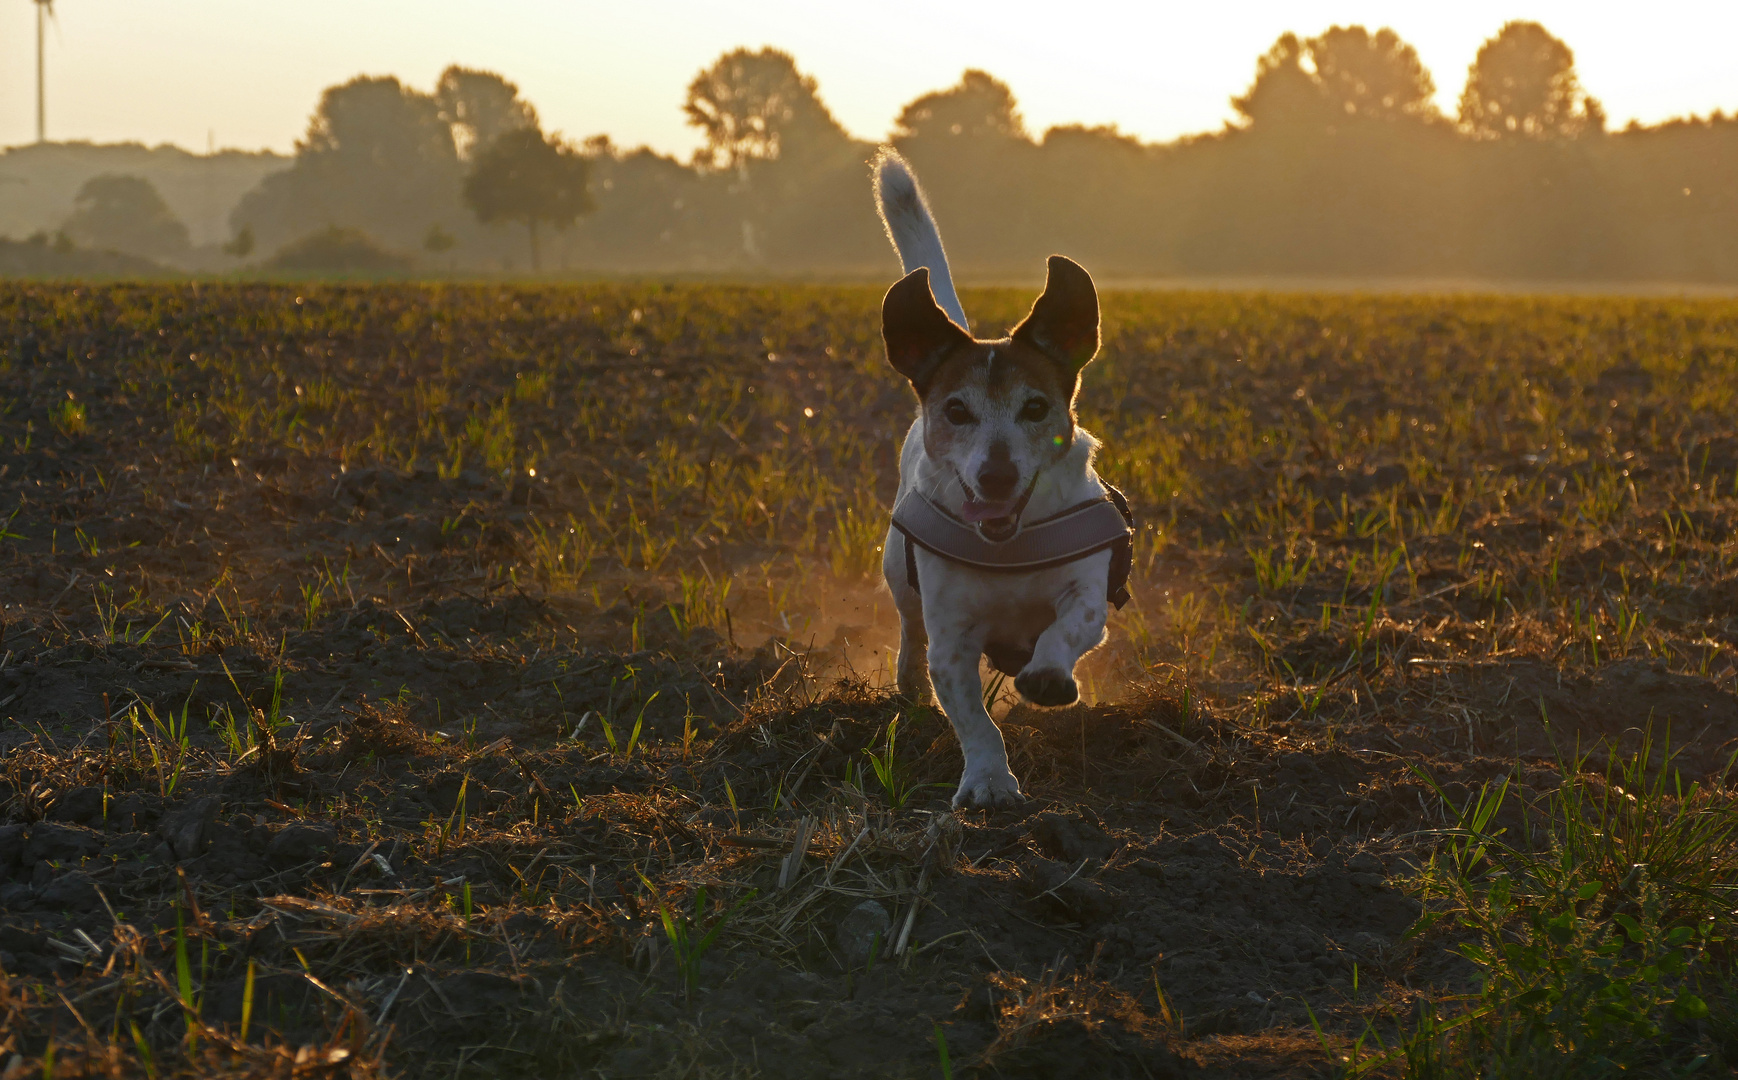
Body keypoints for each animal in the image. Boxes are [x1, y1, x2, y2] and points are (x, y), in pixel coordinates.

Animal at [869, 147, 1140, 803]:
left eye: (1036, 408)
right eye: (956, 411)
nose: (995, 477)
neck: (1008, 546)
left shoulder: (1088, 590)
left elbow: (1068, 629)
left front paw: (1047, 676)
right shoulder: (953, 638)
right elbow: (972, 717)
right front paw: (990, 780)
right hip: (899, 576)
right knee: (910, 633)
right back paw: (907, 685)